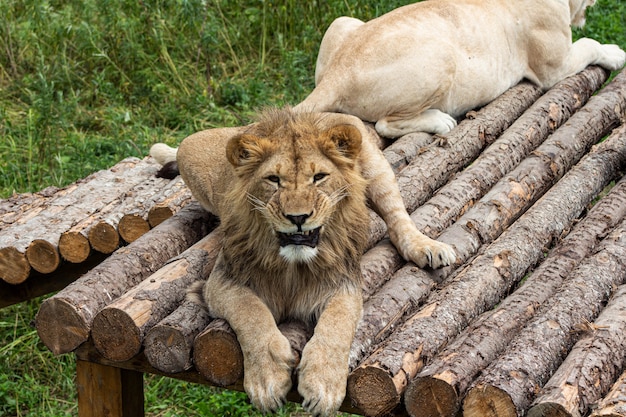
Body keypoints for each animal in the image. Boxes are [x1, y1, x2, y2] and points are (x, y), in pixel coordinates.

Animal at [150, 109, 454, 414]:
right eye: (273, 179)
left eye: (319, 177)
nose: (298, 217)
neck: (292, 265)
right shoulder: (221, 282)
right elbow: (252, 313)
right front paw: (267, 379)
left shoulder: (344, 283)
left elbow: (337, 325)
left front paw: (322, 386)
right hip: (190, 150)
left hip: (374, 167)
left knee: (396, 215)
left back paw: (428, 248)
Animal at [294, 0, 624, 136]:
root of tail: (337, 75)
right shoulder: (553, 68)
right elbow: (591, 44)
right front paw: (617, 53)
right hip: (442, 55)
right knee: (384, 124)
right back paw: (442, 122)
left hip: (341, 23)